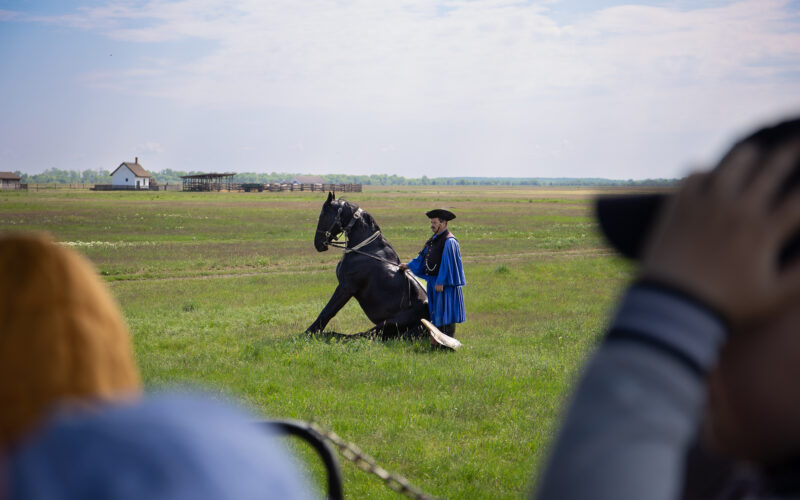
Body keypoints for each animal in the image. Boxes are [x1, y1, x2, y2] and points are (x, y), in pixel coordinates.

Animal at [306, 192, 429, 338]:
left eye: (323, 215)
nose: (317, 243)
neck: (367, 250)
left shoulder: (346, 287)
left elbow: (328, 311)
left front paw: (308, 332)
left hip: (387, 324)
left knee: (361, 336)